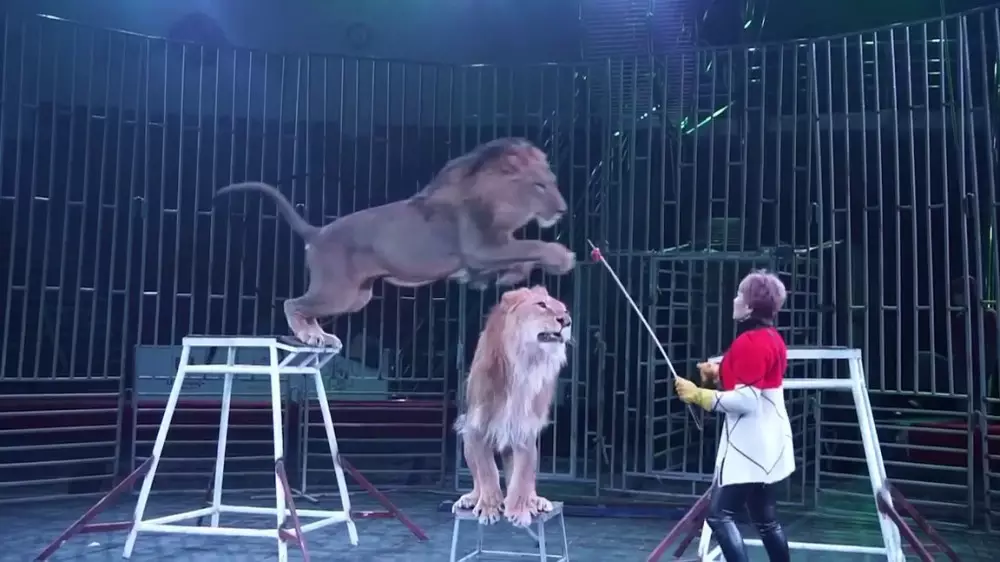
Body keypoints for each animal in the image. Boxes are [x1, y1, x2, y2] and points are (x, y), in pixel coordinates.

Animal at [216, 138, 576, 348]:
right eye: (540, 186)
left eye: (553, 183)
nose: (562, 210)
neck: (500, 200)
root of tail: (317, 232)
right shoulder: (480, 249)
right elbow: (532, 245)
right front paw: (562, 257)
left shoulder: (492, 249)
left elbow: (523, 255)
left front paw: (513, 275)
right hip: (337, 292)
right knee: (293, 304)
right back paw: (311, 336)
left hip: (356, 298)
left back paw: (320, 335)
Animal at [452, 285, 572, 527]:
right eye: (541, 305)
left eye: (564, 309)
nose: (567, 321)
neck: (525, 362)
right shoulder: (477, 425)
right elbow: (487, 472)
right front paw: (489, 508)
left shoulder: (525, 428)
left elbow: (522, 475)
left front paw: (519, 510)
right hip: (466, 436)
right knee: (478, 479)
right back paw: (471, 499)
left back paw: (535, 501)